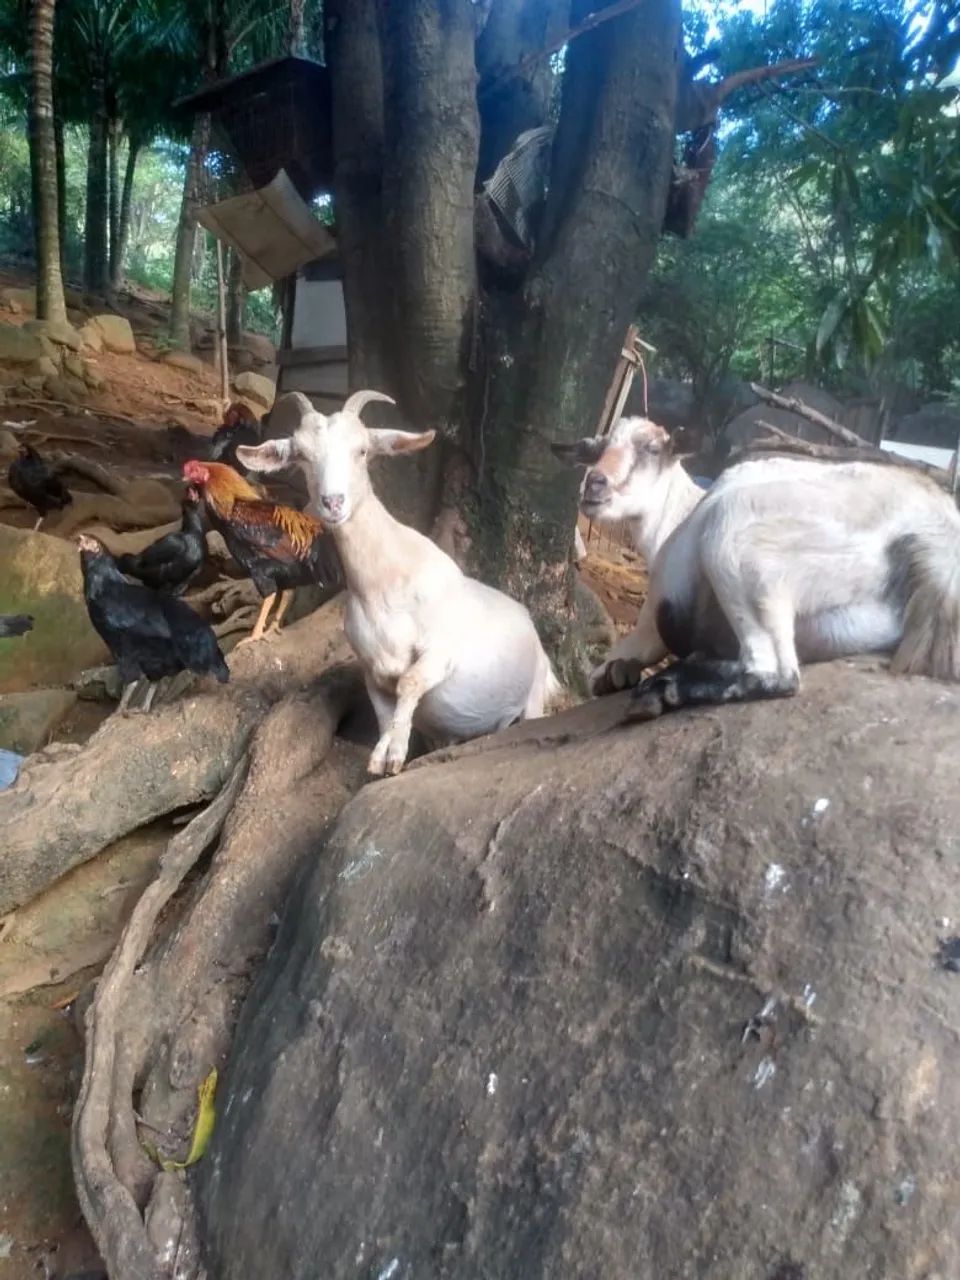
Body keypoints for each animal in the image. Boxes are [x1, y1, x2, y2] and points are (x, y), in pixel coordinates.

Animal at [238, 390, 561, 775]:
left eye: (362, 450)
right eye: (301, 455)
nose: (333, 503)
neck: (382, 587)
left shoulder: (440, 652)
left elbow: (409, 682)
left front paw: (394, 755)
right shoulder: (371, 668)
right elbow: (382, 712)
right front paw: (381, 757)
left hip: (533, 695)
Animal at [553, 415, 960, 720]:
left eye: (652, 449)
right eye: (598, 450)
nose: (594, 484)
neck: (678, 516)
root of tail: (934, 533)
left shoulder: (652, 621)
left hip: (736, 542)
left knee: (777, 673)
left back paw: (662, 690)